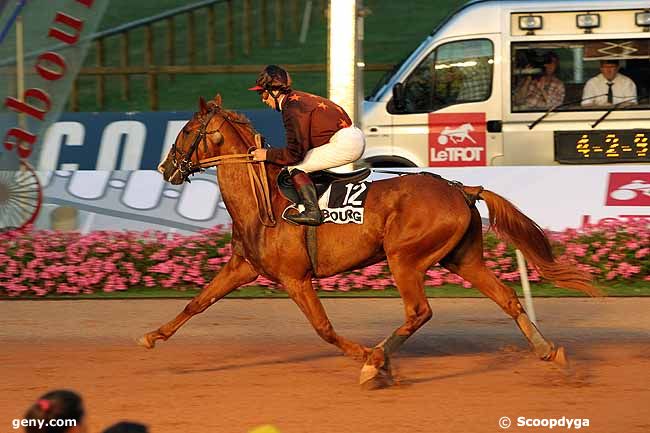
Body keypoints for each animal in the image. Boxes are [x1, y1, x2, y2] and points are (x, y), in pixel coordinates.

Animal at [144, 94, 600, 384]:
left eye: (187, 131)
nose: (165, 167)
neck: (264, 201)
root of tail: (462, 188)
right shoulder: (243, 267)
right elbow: (197, 303)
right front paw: (152, 336)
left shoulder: (295, 278)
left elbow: (324, 328)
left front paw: (369, 359)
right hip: (463, 258)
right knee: (507, 298)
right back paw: (548, 351)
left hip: (405, 258)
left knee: (419, 311)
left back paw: (377, 359)